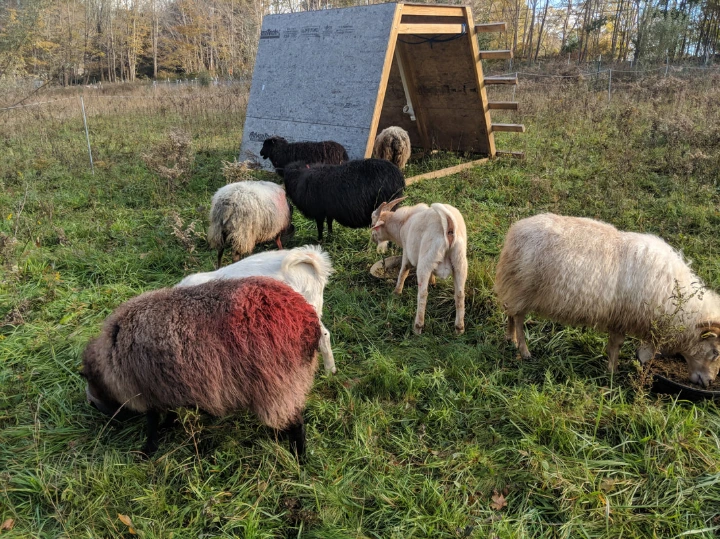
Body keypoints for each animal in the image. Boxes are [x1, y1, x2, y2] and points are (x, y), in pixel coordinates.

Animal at [81, 277, 321, 458]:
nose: (107, 420)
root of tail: (308, 320)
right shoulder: (166, 388)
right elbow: (170, 412)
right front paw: (170, 426)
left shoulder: (148, 391)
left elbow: (152, 423)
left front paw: (147, 450)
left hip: (279, 386)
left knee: (296, 422)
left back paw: (299, 457)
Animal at [370, 198, 468, 336]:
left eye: (373, 222)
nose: (372, 238)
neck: (403, 222)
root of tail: (449, 225)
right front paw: (433, 282)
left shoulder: (407, 252)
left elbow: (403, 272)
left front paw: (396, 292)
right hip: (460, 263)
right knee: (459, 295)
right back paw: (459, 328)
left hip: (425, 261)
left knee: (422, 294)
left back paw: (418, 327)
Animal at [494, 212, 720, 387]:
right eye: (716, 352)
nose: (710, 383)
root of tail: (516, 231)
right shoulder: (623, 316)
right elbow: (616, 345)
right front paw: (612, 372)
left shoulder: (620, 316)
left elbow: (615, 345)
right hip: (523, 289)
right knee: (519, 319)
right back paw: (524, 350)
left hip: (515, 288)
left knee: (510, 313)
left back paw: (510, 338)